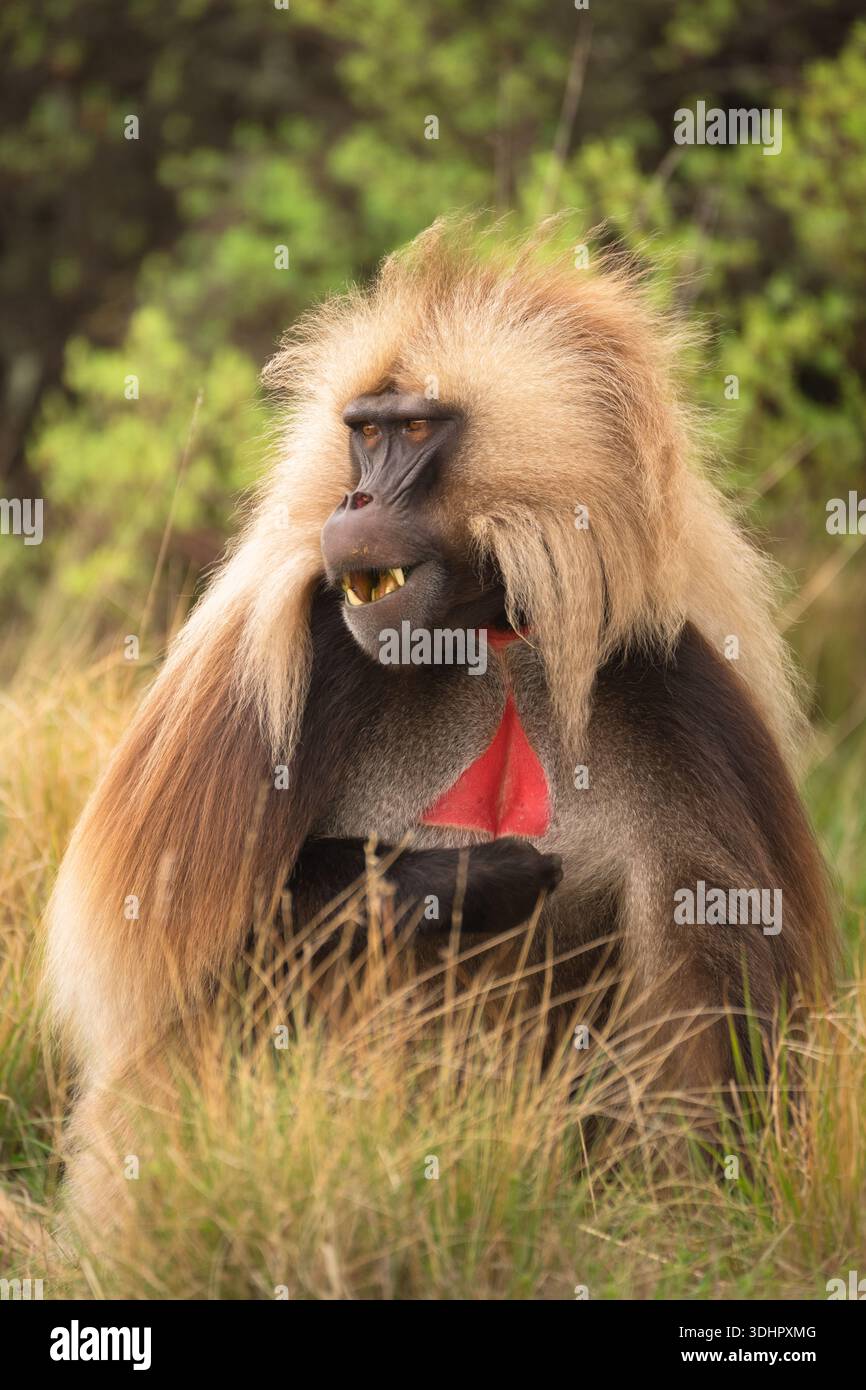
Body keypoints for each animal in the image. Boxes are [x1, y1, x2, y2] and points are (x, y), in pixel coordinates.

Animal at [46, 219, 834, 1224]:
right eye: (362, 434)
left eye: (415, 429)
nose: (354, 503)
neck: (485, 631)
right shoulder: (297, 663)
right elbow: (171, 946)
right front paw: (474, 875)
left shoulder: (678, 685)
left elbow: (718, 976)